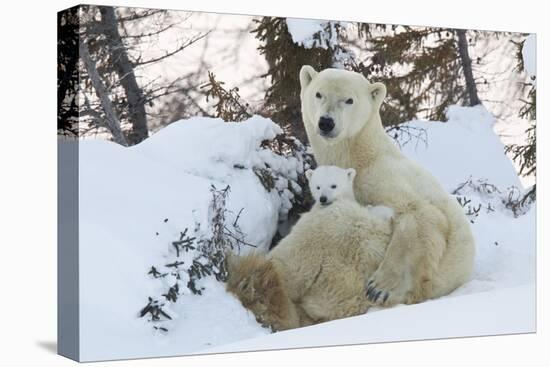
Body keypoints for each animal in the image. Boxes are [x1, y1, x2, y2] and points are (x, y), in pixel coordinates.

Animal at [300, 66, 476, 308]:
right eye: (318, 94)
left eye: (349, 100)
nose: (326, 122)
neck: (363, 156)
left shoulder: (384, 176)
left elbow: (421, 213)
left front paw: (380, 288)